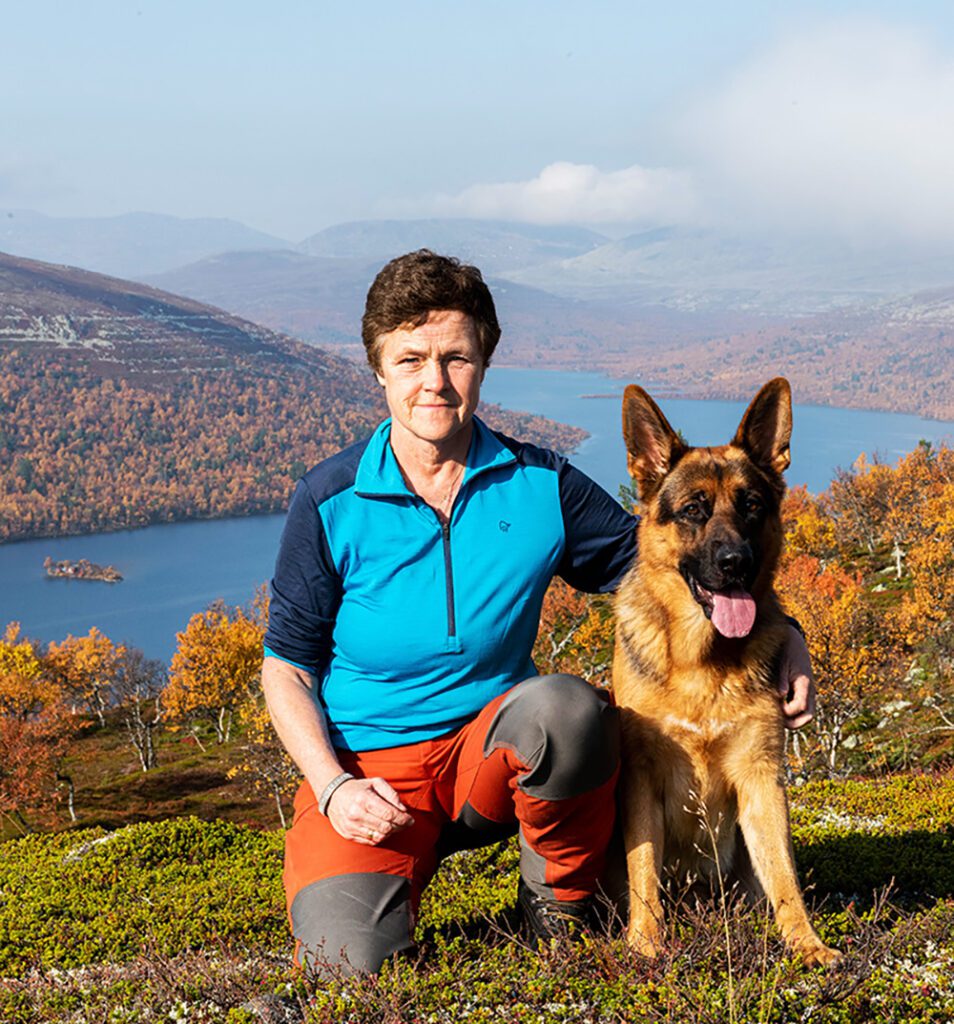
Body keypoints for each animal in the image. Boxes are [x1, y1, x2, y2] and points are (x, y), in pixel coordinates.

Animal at [610, 378, 843, 966]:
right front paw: (645, 942)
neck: (701, 662)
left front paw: (807, 945)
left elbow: (785, 875)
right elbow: (643, 868)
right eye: (694, 509)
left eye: (752, 506)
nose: (735, 563)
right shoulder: (642, 778)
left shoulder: (761, 778)